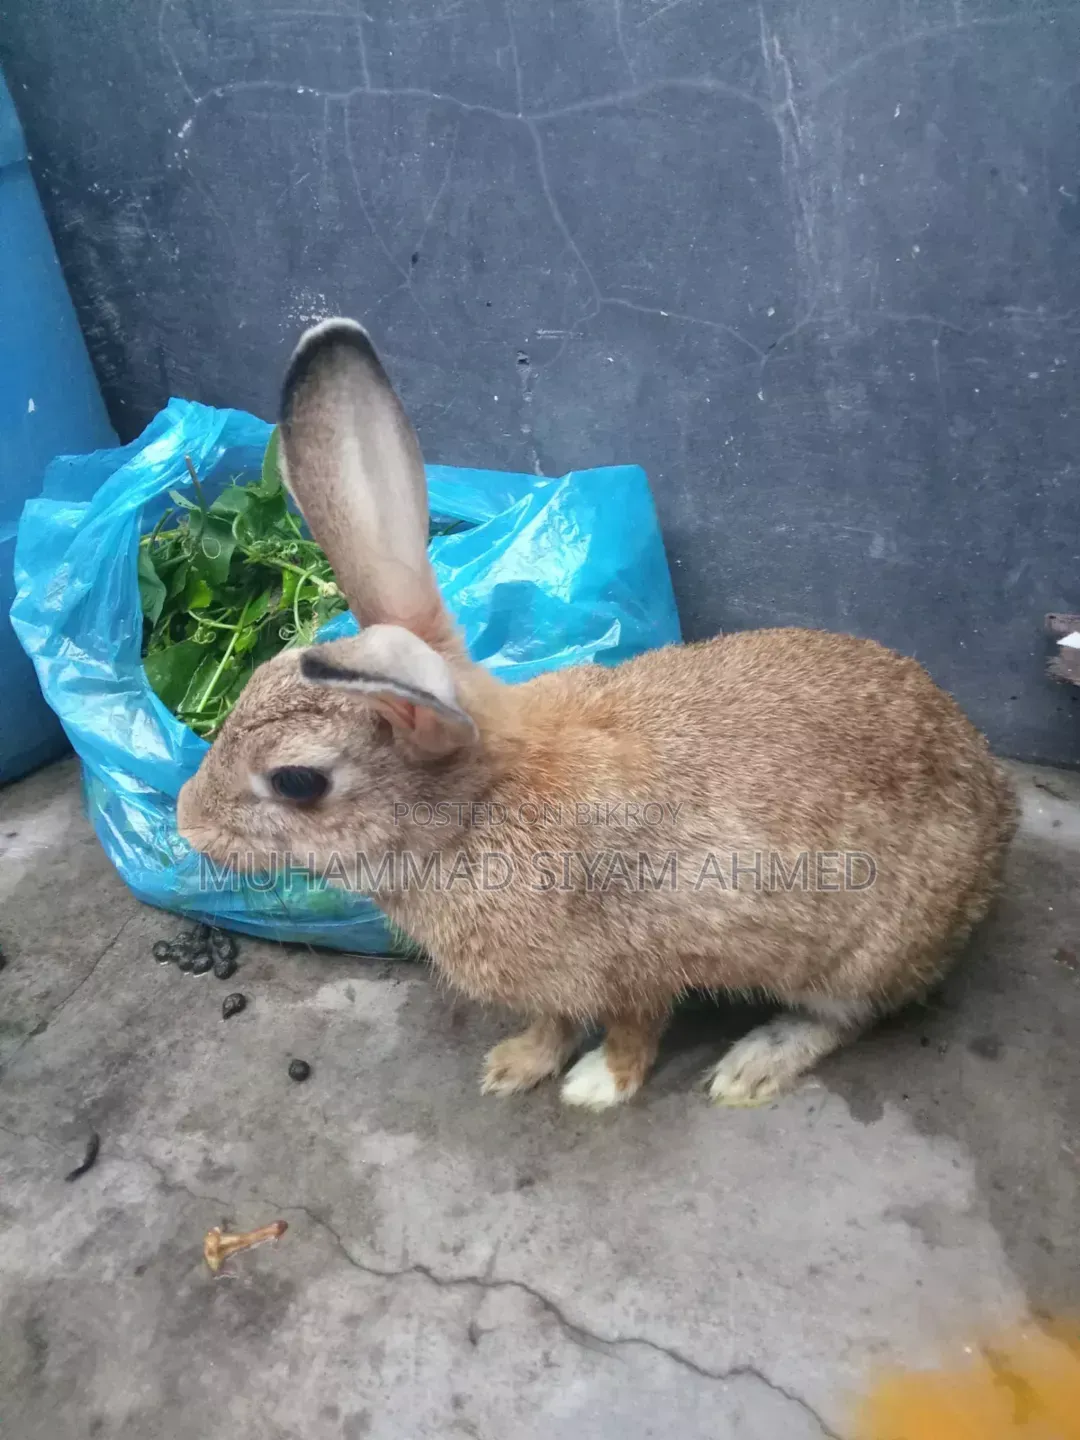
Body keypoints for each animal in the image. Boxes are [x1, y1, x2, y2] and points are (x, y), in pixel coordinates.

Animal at [177, 318, 1018, 1112]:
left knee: (847, 1014)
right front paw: (514, 1065)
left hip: (860, 954)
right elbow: (552, 1021)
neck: (476, 805)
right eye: (262, 676)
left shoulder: (637, 963)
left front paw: (595, 1087)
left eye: (297, 781)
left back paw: (750, 1066)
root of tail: (996, 811)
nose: (186, 821)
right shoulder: (555, 982)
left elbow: (632, 1028)